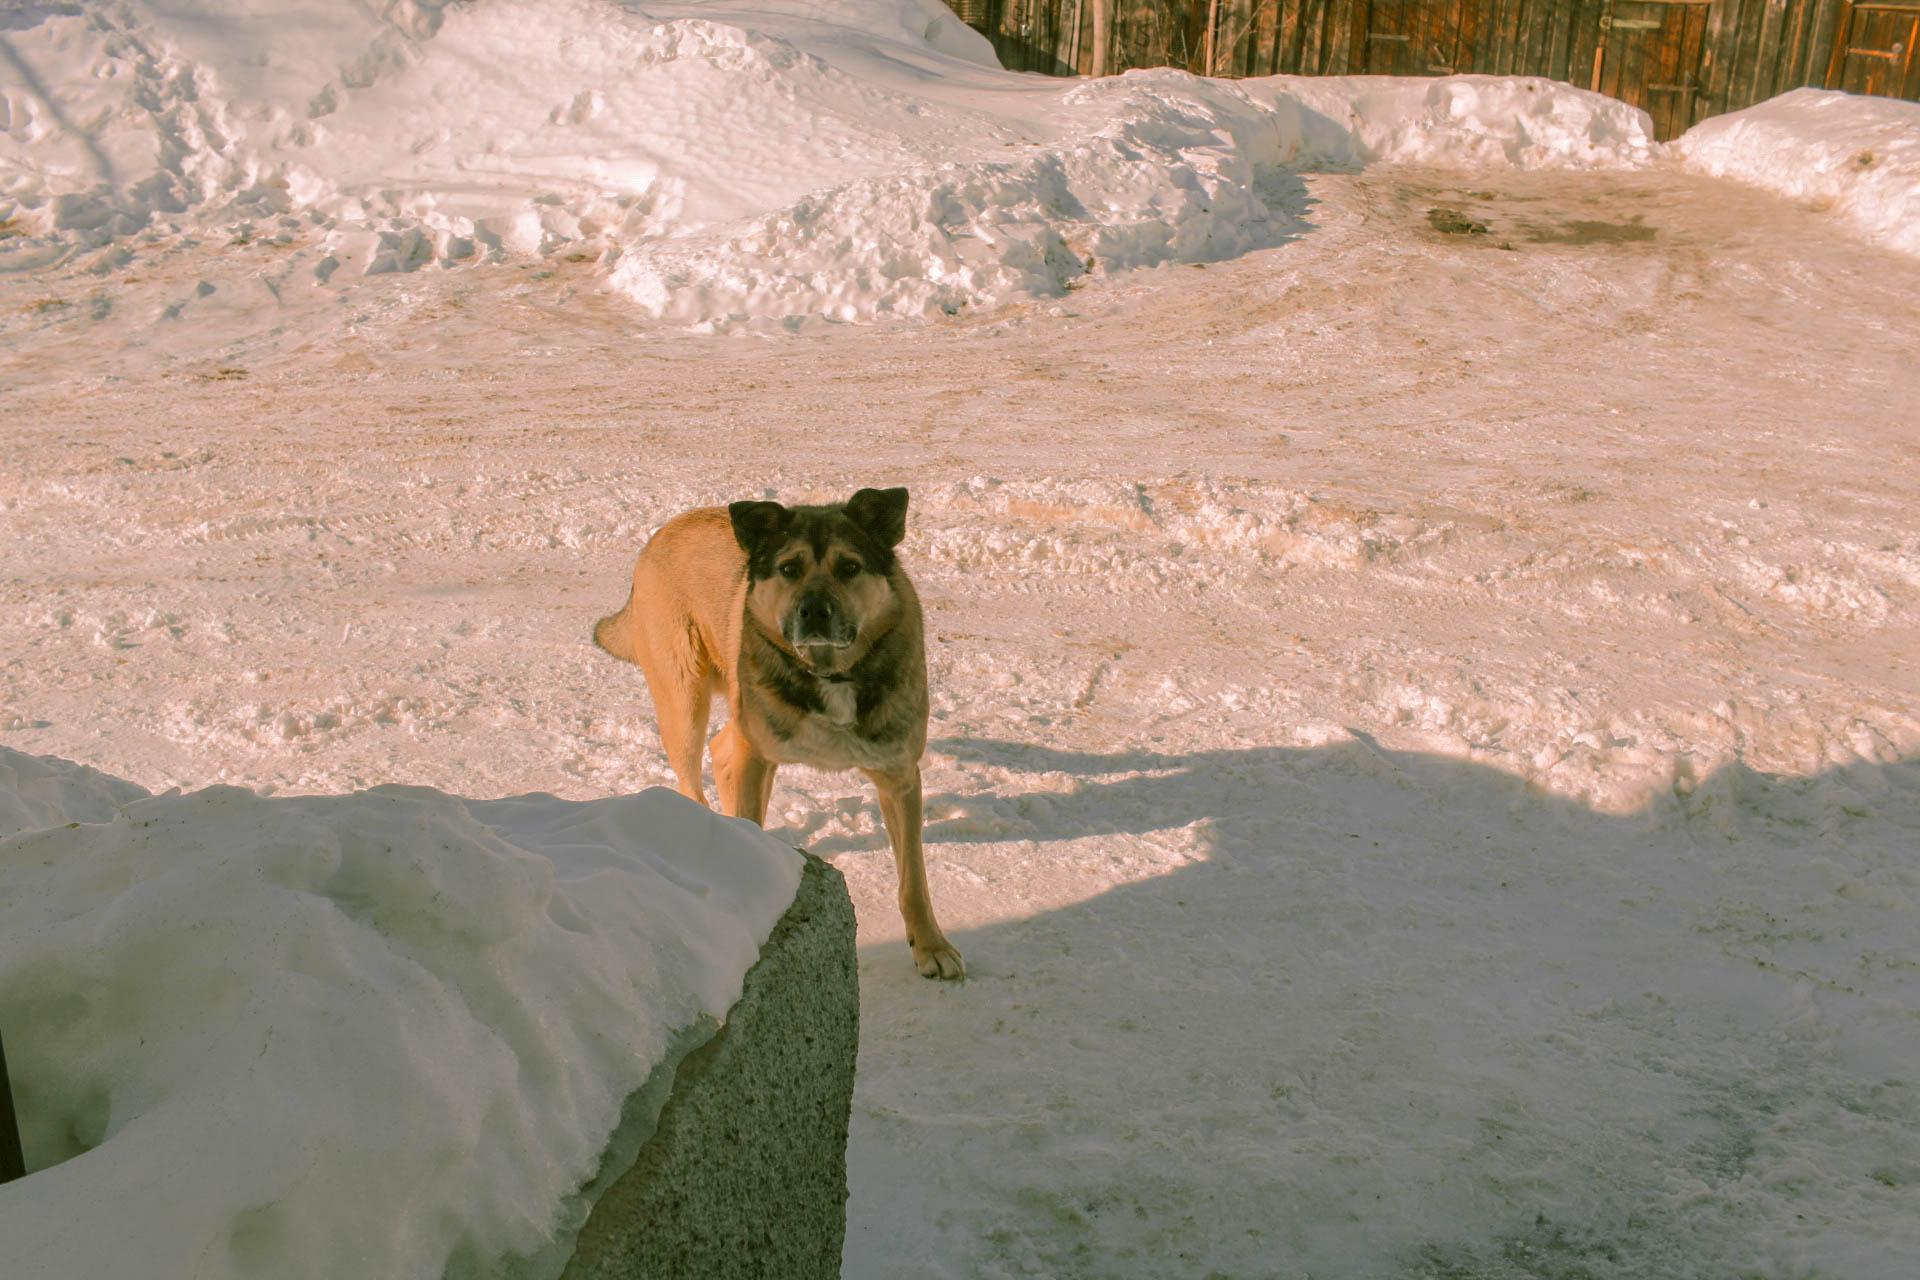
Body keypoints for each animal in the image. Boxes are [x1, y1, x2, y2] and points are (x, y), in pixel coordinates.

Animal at [591, 491, 960, 982]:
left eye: (849, 567)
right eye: (789, 568)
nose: (814, 610)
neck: (829, 674)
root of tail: (665, 531)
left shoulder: (899, 775)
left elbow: (913, 878)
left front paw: (931, 945)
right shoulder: (757, 757)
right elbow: (749, 821)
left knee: (721, 749)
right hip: (683, 699)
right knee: (694, 774)